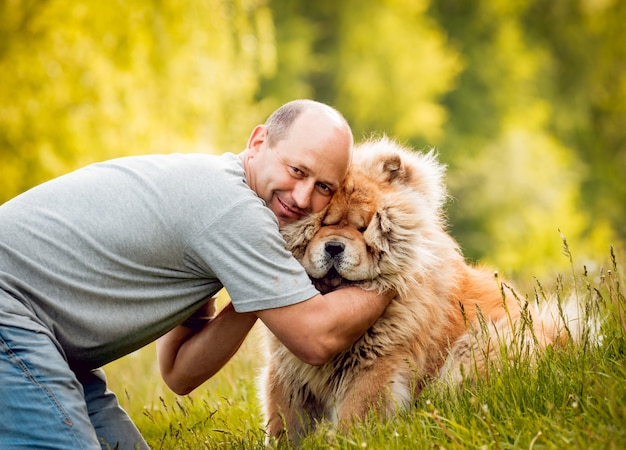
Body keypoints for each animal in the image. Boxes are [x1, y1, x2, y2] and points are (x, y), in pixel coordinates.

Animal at [258, 135, 572, 444]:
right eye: (322, 223)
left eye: (363, 228)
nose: (334, 246)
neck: (333, 297)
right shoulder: (288, 368)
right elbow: (283, 421)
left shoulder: (374, 364)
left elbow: (355, 416)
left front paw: (352, 441)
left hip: (477, 346)